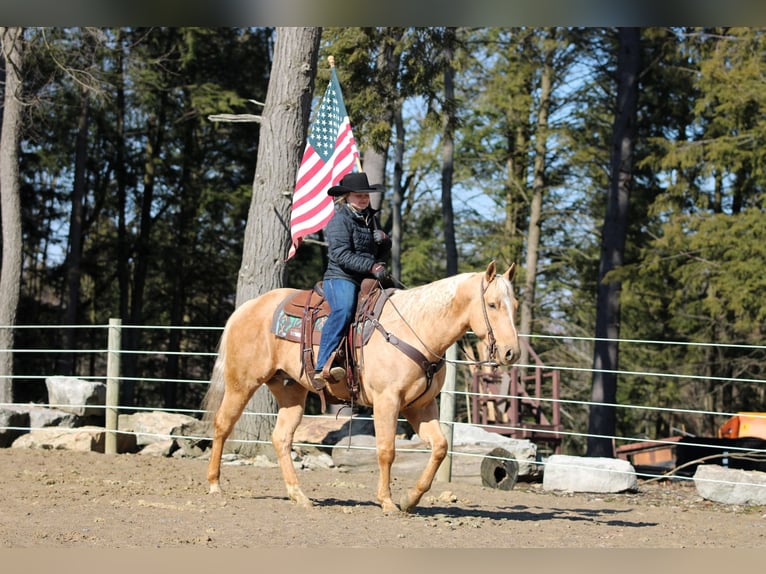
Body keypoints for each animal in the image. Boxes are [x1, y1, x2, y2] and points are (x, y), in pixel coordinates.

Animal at [202, 260, 520, 512]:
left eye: (515, 306)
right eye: (492, 304)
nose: (511, 353)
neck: (415, 328)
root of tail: (246, 308)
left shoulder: (420, 405)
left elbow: (440, 447)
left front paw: (411, 499)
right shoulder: (387, 401)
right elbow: (386, 450)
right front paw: (387, 502)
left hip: (290, 390)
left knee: (281, 437)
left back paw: (299, 495)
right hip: (242, 383)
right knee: (223, 424)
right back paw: (215, 485)